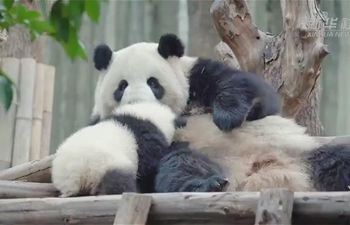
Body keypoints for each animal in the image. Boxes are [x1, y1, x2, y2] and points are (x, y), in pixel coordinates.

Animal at [89, 33, 350, 192]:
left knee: (337, 158)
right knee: (180, 166)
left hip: (300, 151)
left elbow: (250, 90)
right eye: (121, 86)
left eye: (154, 83)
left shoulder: (195, 74)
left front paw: (227, 116)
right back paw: (208, 184)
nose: (138, 102)